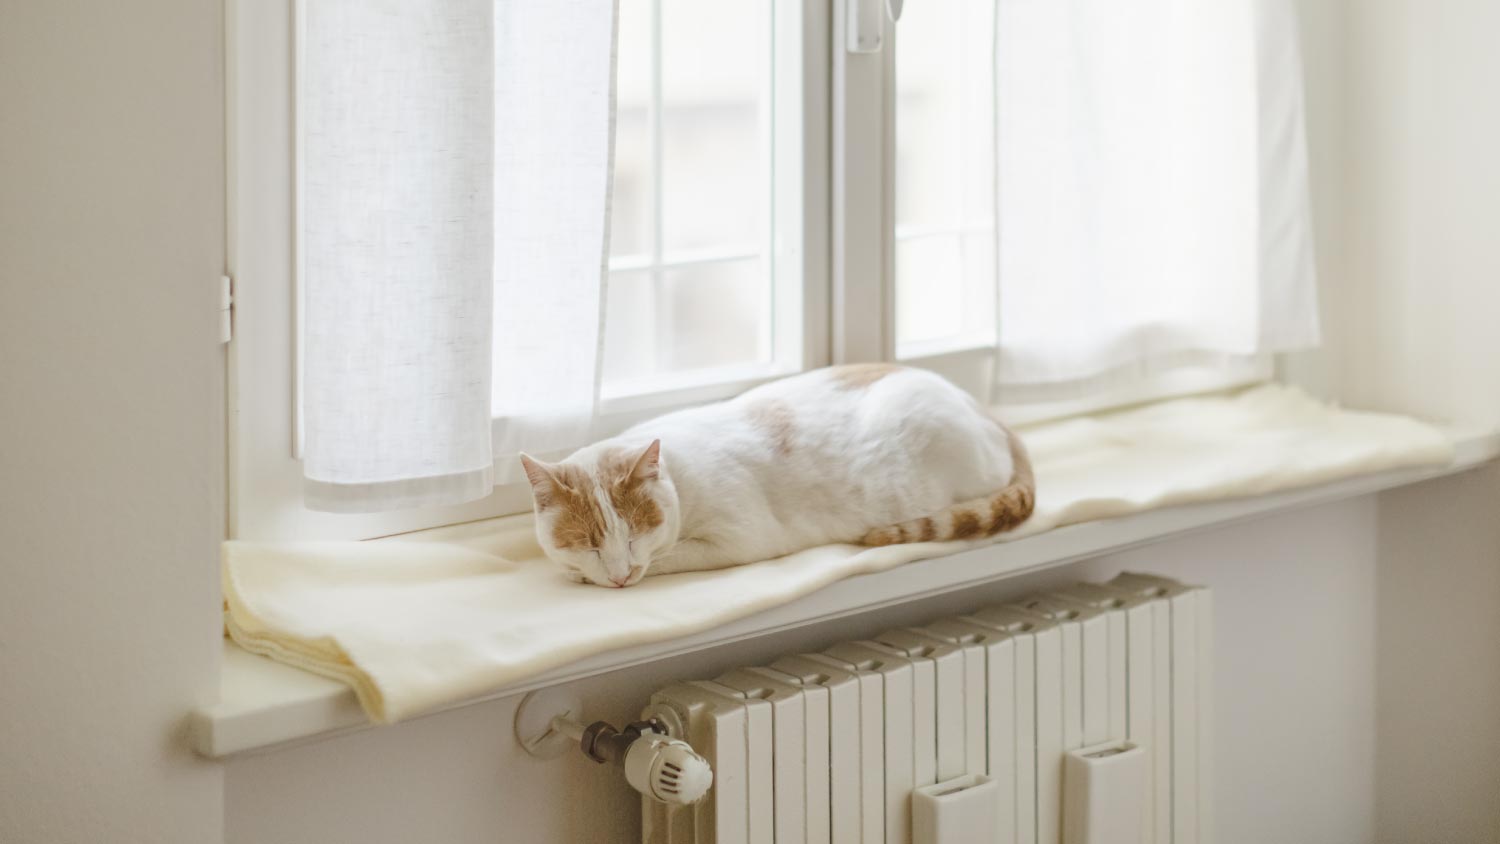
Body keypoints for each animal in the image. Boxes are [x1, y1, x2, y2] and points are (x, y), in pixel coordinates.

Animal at [519, 362, 1032, 587]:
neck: (677, 475)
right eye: (588, 543)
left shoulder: (738, 540)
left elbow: (668, 558)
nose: (621, 576)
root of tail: (982, 407)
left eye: (634, 535)